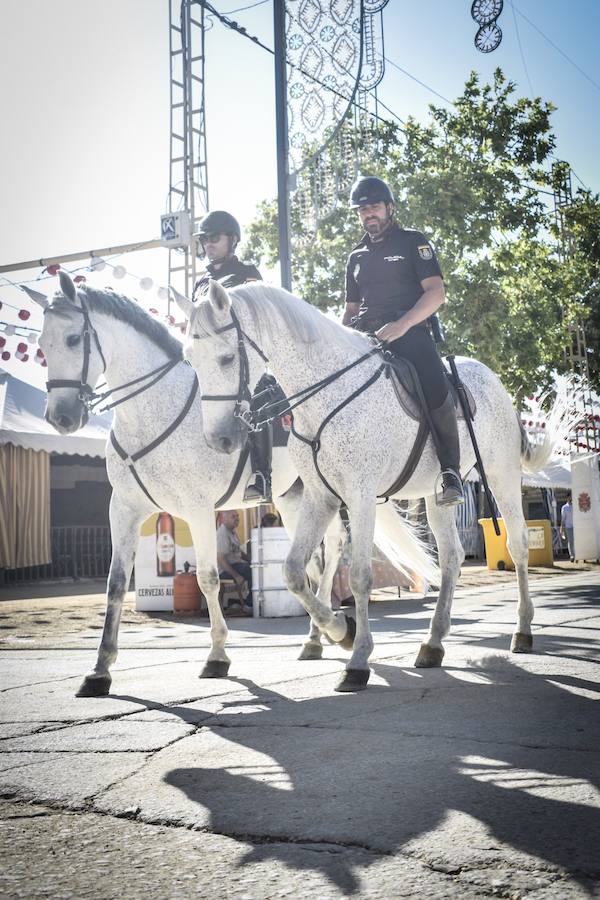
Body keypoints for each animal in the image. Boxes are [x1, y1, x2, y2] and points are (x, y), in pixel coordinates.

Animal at [176, 282, 576, 696]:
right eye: (189, 358)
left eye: (226, 358)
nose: (219, 439)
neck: (327, 393)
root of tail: (493, 378)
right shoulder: (320, 497)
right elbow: (293, 572)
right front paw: (339, 630)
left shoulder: (361, 495)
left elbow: (359, 577)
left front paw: (357, 659)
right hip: (437, 495)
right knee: (451, 556)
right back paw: (433, 642)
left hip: (501, 476)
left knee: (517, 545)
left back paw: (522, 631)